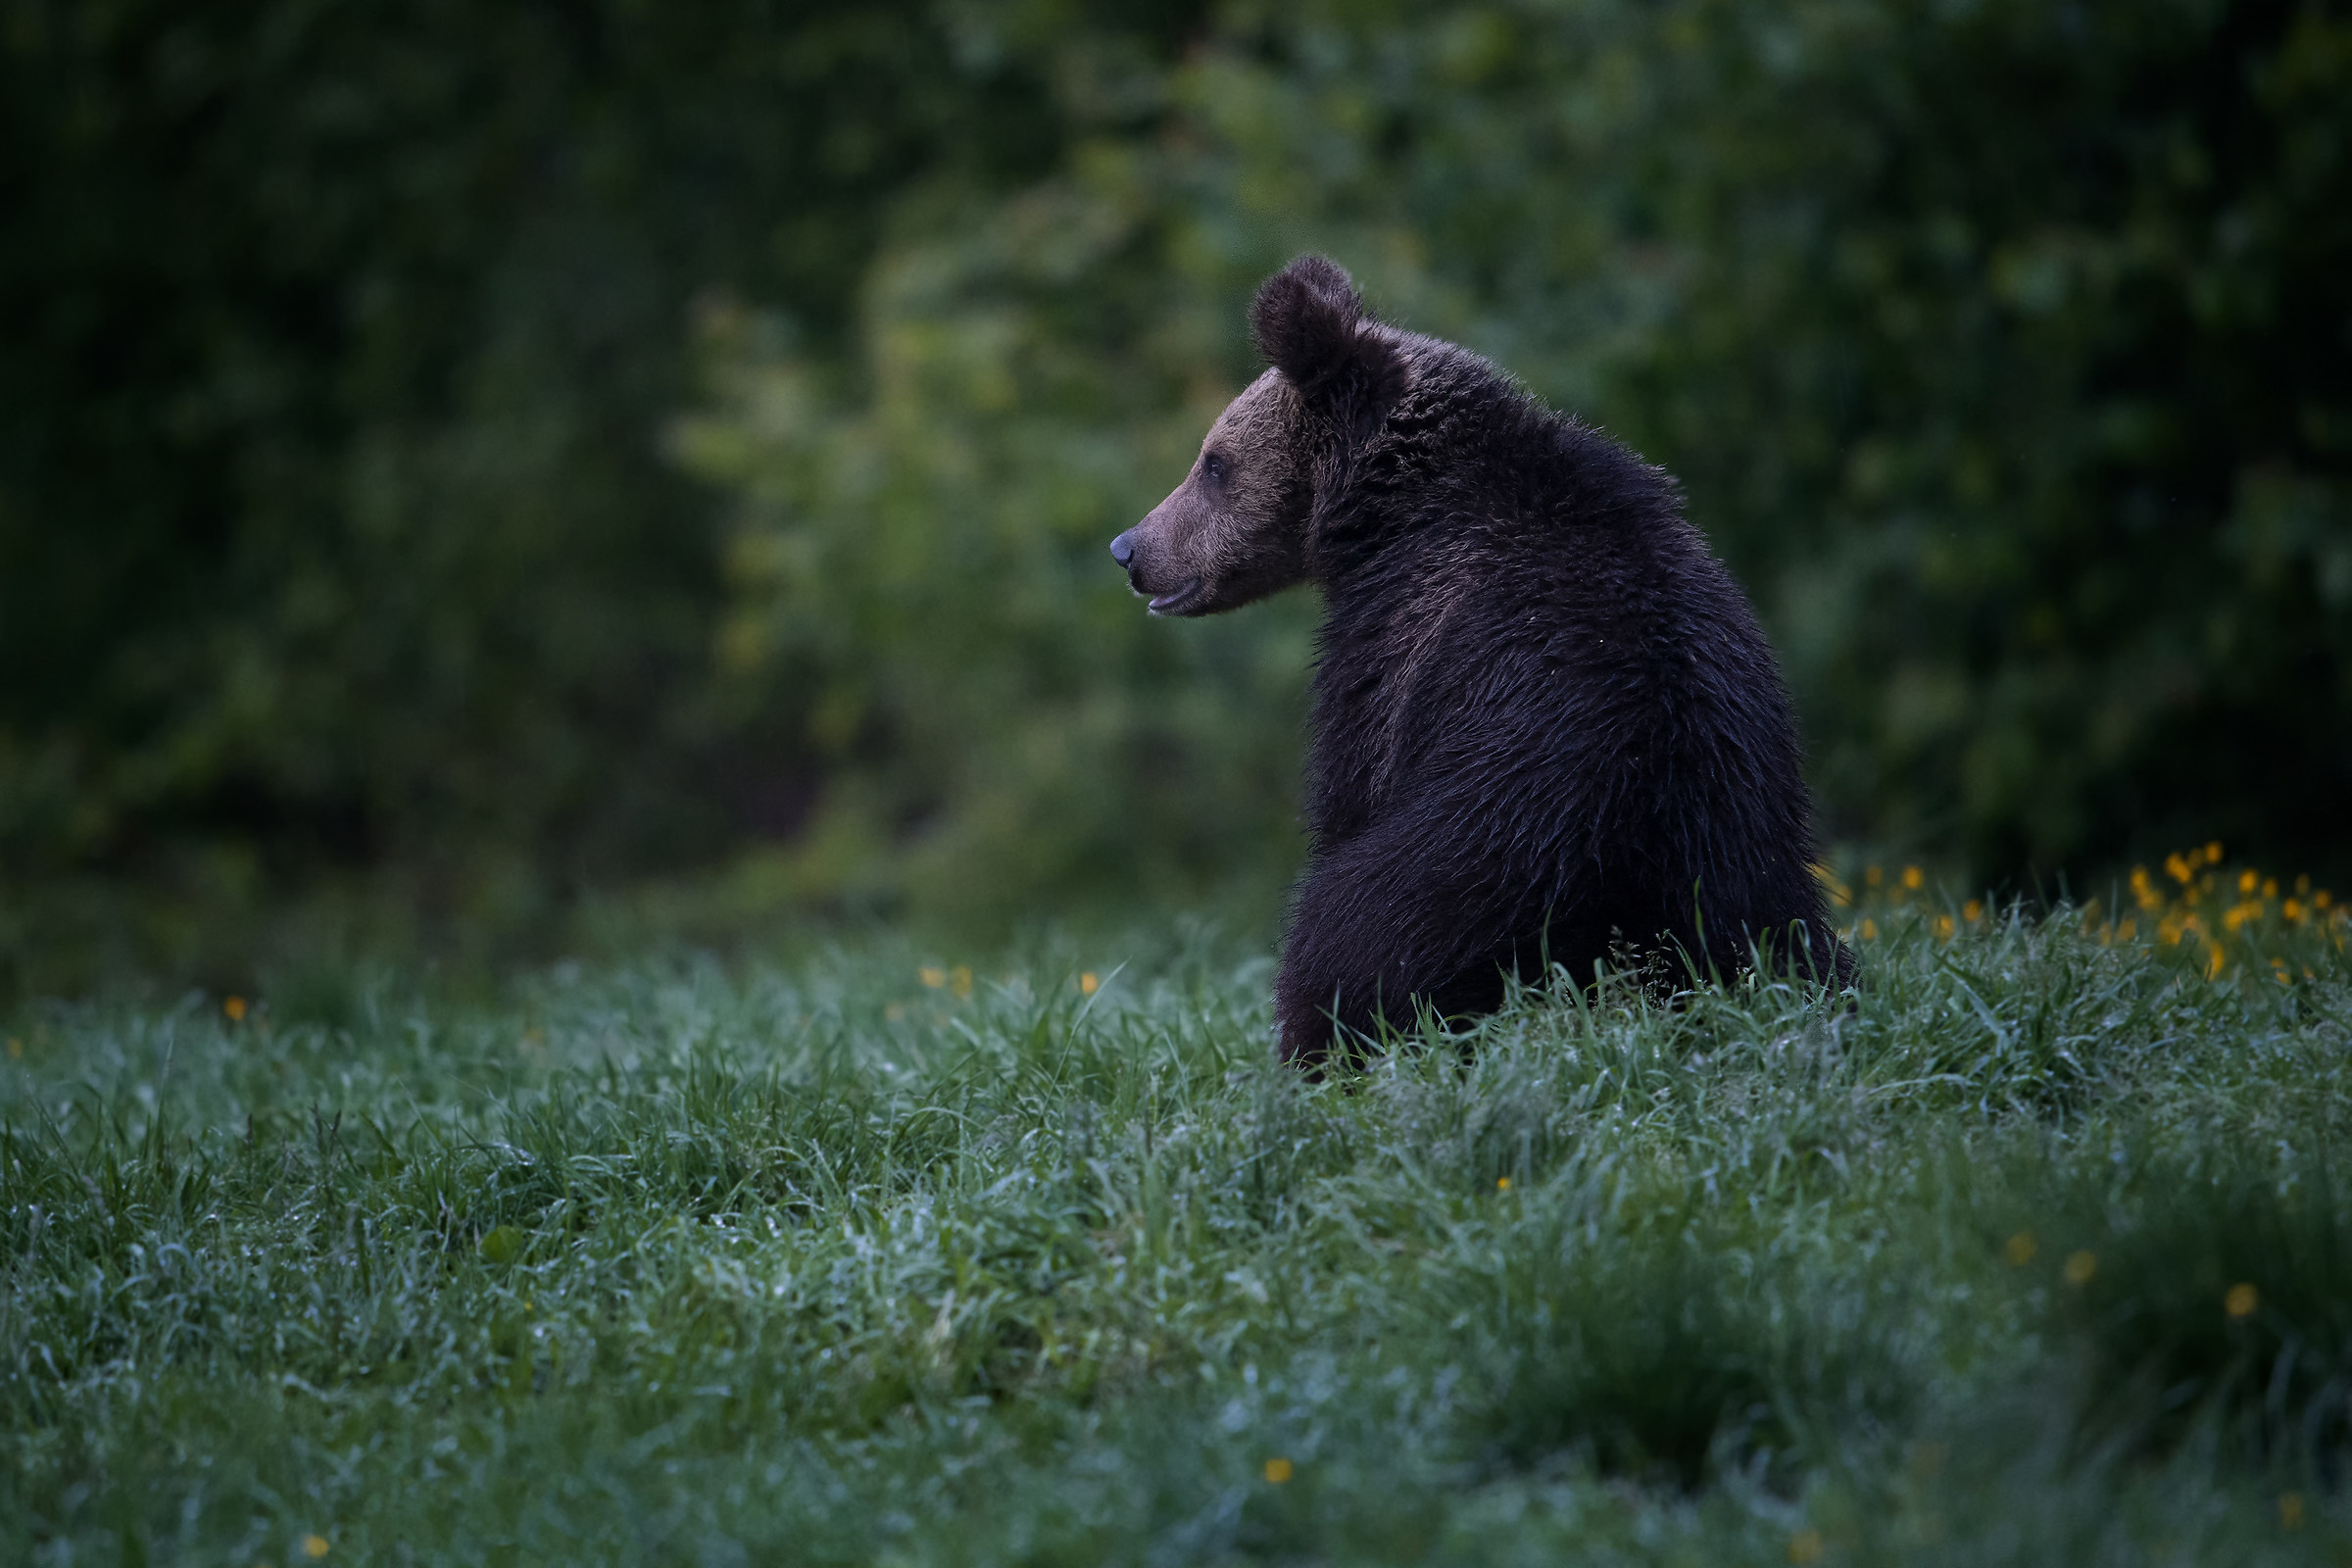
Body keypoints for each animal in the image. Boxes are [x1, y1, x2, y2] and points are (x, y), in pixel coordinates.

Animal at [1110, 256, 1853, 1066]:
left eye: (1214, 463)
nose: (1130, 549)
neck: (1393, 514)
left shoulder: (1399, 645)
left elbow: (1346, 786)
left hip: (1486, 850)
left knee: (1346, 940)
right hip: (1742, 846)